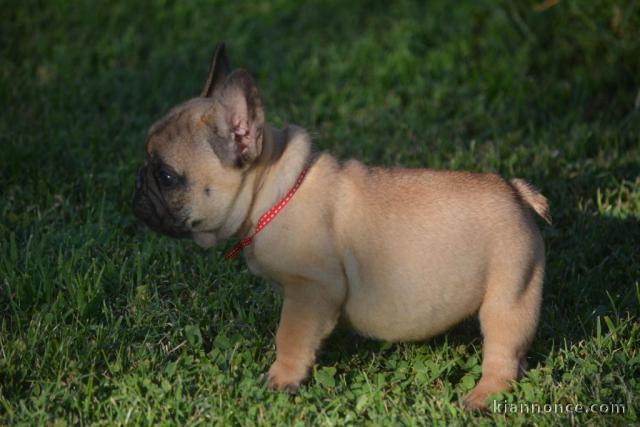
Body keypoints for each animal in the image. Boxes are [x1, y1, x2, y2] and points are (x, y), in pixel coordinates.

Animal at [131, 44, 552, 412]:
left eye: (167, 176)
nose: (137, 184)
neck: (273, 191)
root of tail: (516, 190)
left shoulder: (310, 289)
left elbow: (290, 337)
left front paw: (282, 380)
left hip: (510, 292)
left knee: (503, 353)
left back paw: (482, 397)